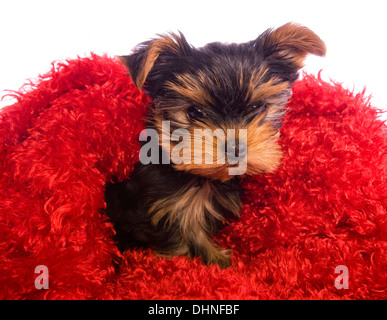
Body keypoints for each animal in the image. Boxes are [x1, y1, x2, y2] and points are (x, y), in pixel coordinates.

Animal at [104, 21, 326, 268]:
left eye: (257, 107)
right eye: (194, 112)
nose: (235, 148)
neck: (204, 179)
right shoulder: (162, 207)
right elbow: (180, 239)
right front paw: (209, 263)